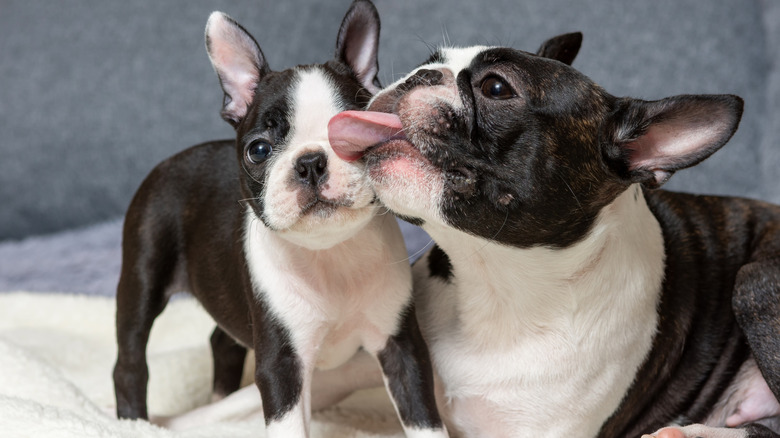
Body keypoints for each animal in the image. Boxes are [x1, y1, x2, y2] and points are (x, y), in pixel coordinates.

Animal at [112, 1, 448, 436]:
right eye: (258, 150)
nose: (310, 163)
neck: (329, 255)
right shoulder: (282, 366)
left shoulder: (401, 345)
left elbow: (423, 417)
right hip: (143, 274)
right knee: (130, 360)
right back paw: (134, 421)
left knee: (222, 341)